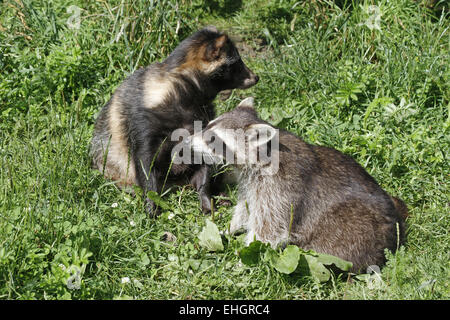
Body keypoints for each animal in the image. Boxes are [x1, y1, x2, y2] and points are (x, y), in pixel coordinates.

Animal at [89, 27, 258, 215]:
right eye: (237, 63)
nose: (256, 77)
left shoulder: (202, 118)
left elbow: (203, 159)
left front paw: (205, 195)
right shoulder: (143, 118)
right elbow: (144, 161)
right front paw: (151, 203)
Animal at [188, 98, 410, 272]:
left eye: (213, 139)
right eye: (207, 125)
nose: (188, 140)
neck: (264, 154)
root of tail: (396, 228)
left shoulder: (281, 190)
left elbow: (268, 229)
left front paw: (242, 258)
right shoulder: (251, 183)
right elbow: (246, 207)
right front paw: (231, 228)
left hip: (356, 232)